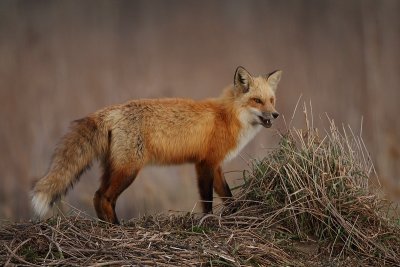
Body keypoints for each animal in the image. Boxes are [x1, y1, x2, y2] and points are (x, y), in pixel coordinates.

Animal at [31, 66, 282, 224]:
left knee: (96, 196)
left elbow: (228, 196)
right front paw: (209, 220)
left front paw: (234, 214)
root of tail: (109, 111)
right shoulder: (205, 164)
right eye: (257, 101)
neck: (227, 116)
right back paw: (117, 227)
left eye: (271, 100)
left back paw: (108, 227)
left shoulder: (216, 165)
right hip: (128, 171)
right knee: (104, 198)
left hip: (113, 168)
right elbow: (207, 199)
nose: (275, 115)